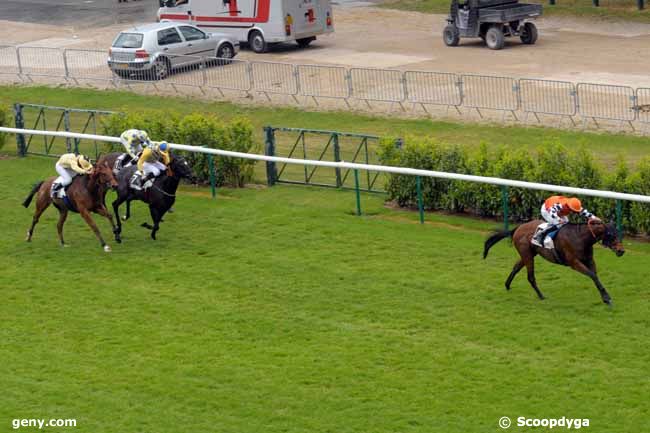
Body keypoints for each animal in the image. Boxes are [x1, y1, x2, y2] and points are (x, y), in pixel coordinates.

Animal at [480, 221, 624, 306]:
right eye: (611, 234)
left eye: (618, 234)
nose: (621, 251)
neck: (581, 238)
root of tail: (517, 228)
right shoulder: (574, 263)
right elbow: (592, 275)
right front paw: (607, 298)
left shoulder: (589, 260)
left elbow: (595, 277)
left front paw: (605, 297)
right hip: (527, 254)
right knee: (530, 277)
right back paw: (541, 296)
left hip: (529, 254)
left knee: (516, 267)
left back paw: (507, 285)